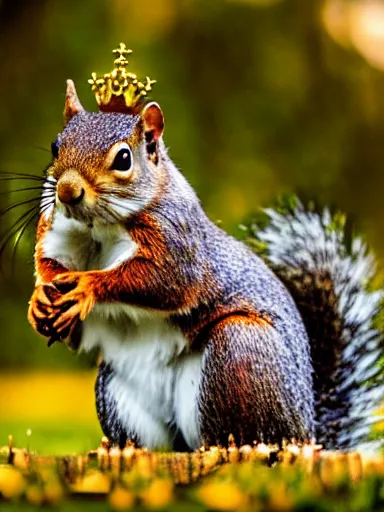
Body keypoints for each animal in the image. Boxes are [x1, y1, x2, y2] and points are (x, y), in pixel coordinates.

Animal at [26, 46, 380, 450]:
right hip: (117, 390)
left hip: (239, 352)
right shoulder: (56, 231)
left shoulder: (181, 244)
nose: (67, 191)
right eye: (56, 145)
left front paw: (88, 286)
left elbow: (165, 281)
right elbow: (54, 277)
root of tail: (307, 436)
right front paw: (40, 302)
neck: (100, 227)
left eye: (123, 159)